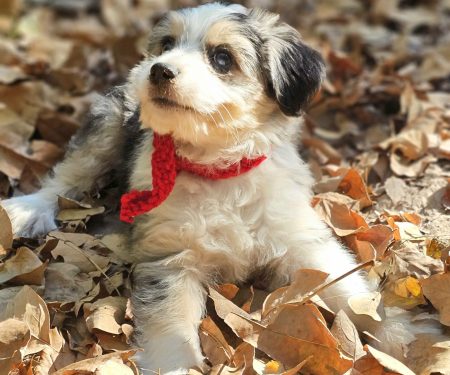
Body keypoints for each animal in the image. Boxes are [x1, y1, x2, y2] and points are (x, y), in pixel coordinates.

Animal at [0, 3, 436, 375]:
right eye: (167, 45)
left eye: (222, 58)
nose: (158, 70)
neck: (219, 170)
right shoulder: (170, 258)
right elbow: (172, 324)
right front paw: (175, 366)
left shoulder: (305, 241)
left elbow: (352, 291)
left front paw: (408, 344)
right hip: (108, 125)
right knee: (67, 176)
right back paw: (28, 209)